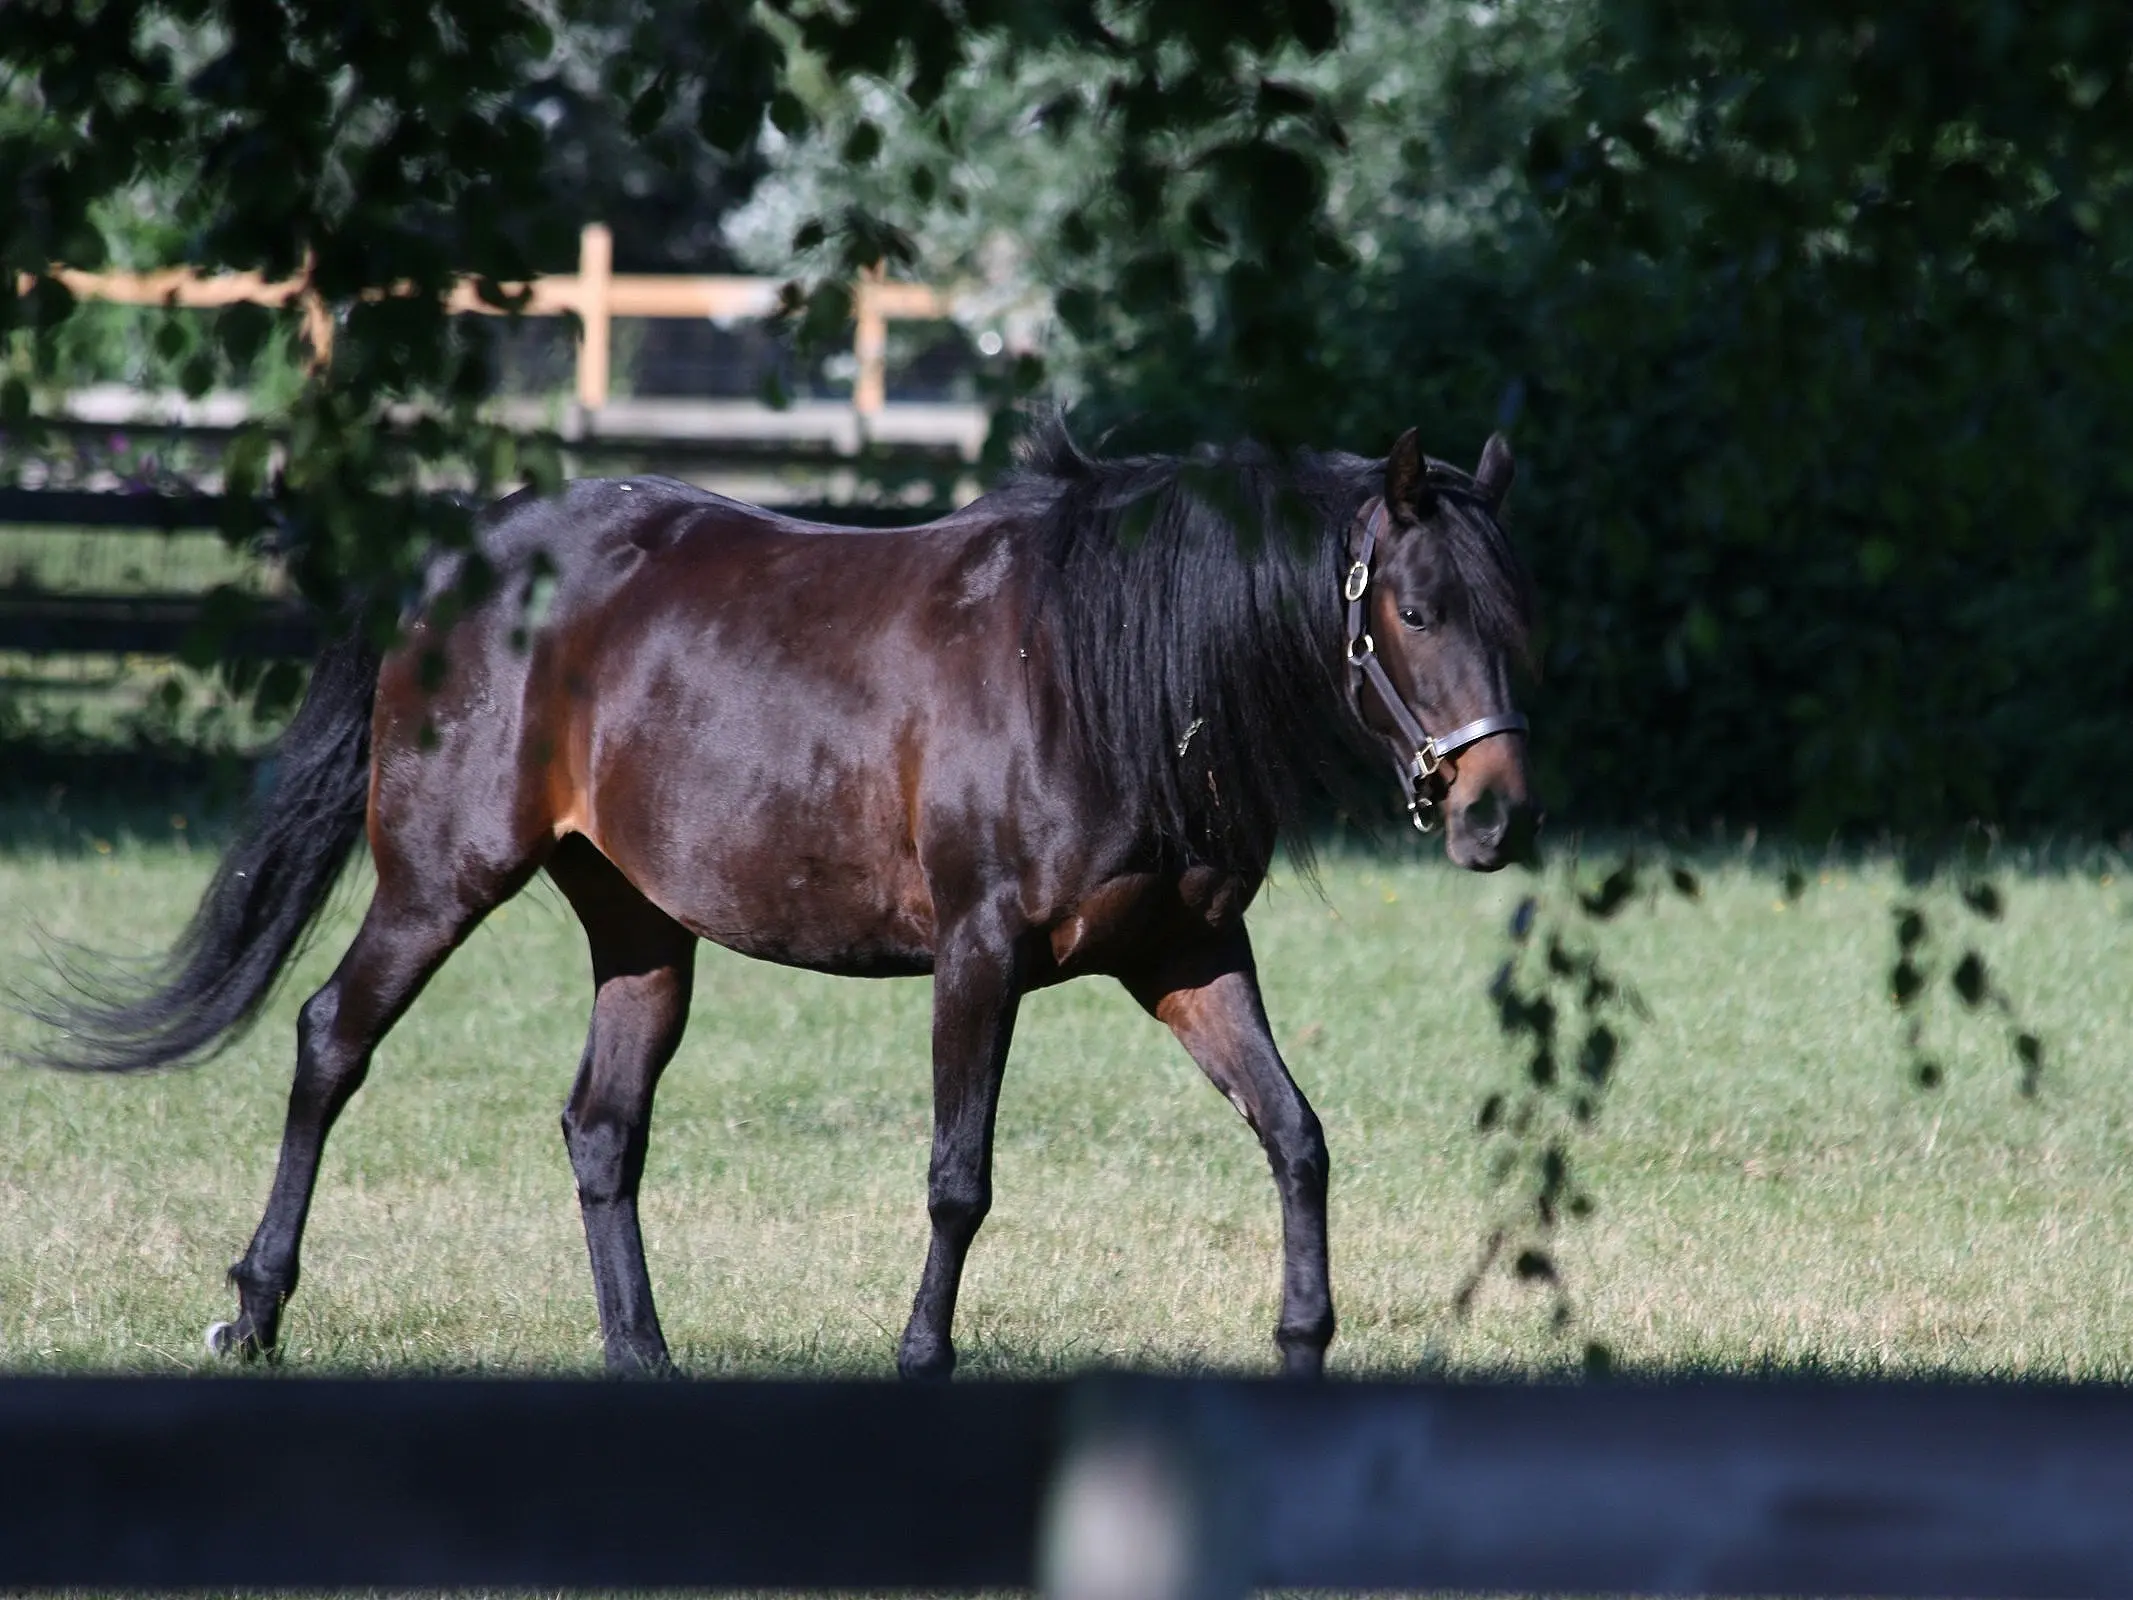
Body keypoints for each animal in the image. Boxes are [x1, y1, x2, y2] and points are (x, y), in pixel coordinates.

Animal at [37, 420, 1535, 1382]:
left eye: (1508, 608)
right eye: (1411, 608)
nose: (1495, 813)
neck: (1090, 670)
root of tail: (464, 554)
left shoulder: (1188, 953)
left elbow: (1297, 1138)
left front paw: (1303, 1341)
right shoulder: (980, 953)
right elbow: (959, 1178)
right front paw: (922, 1355)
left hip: (640, 927)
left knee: (601, 1125)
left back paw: (642, 1355)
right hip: (437, 880)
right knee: (331, 1044)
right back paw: (253, 1313)